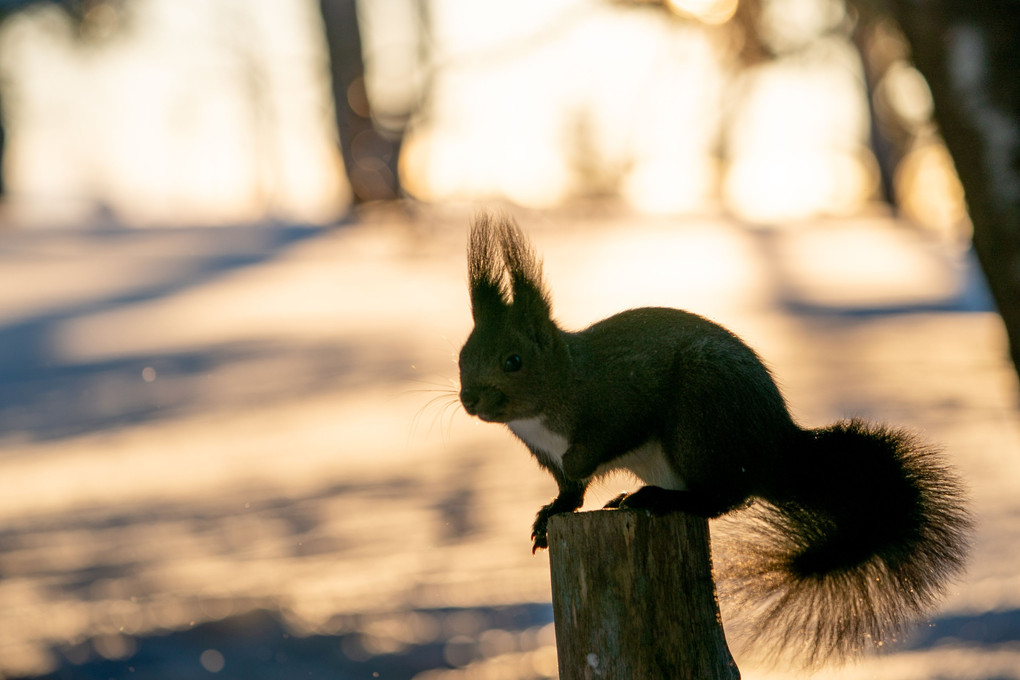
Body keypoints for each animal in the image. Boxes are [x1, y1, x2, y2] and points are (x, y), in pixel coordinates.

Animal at [456, 211, 971, 664]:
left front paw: (579, 470)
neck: (560, 387)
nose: (470, 401)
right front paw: (550, 515)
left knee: (722, 496)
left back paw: (659, 498)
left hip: (700, 420)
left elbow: (603, 444)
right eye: (462, 355)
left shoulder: (624, 398)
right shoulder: (547, 456)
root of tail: (779, 451)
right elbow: (570, 493)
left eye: (513, 361)